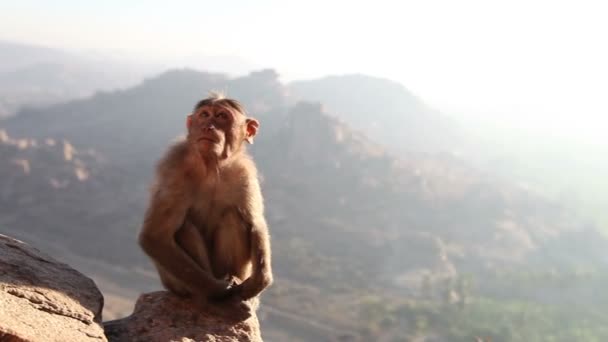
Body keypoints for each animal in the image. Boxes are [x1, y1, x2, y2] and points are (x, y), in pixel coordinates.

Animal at [139, 92, 274, 306]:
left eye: (221, 116)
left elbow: (255, 223)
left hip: (236, 270)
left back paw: (234, 283)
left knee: (233, 217)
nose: (208, 127)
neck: (211, 165)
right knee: (182, 228)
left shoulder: (244, 171)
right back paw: (211, 294)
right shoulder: (174, 164)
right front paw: (218, 290)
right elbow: (155, 235)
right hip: (174, 282)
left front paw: (259, 282)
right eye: (204, 115)